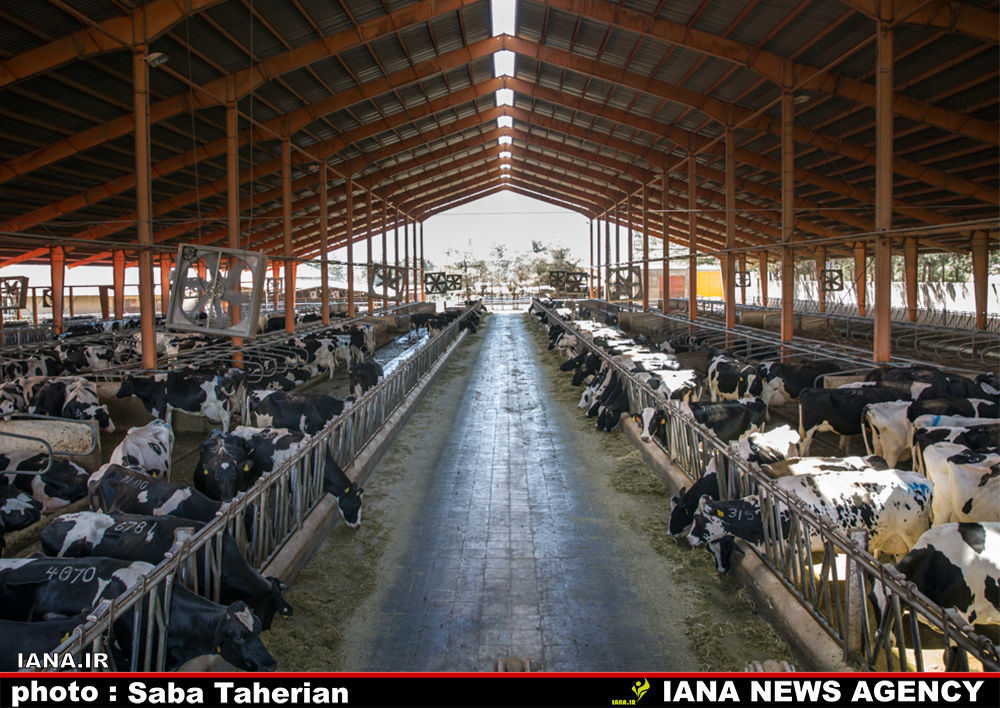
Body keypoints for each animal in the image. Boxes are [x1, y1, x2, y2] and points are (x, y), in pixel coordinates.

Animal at [687, 469, 933, 572]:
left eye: (698, 519)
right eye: (712, 551)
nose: (689, 539)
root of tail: (921, 479)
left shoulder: (799, 550)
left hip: (912, 537)